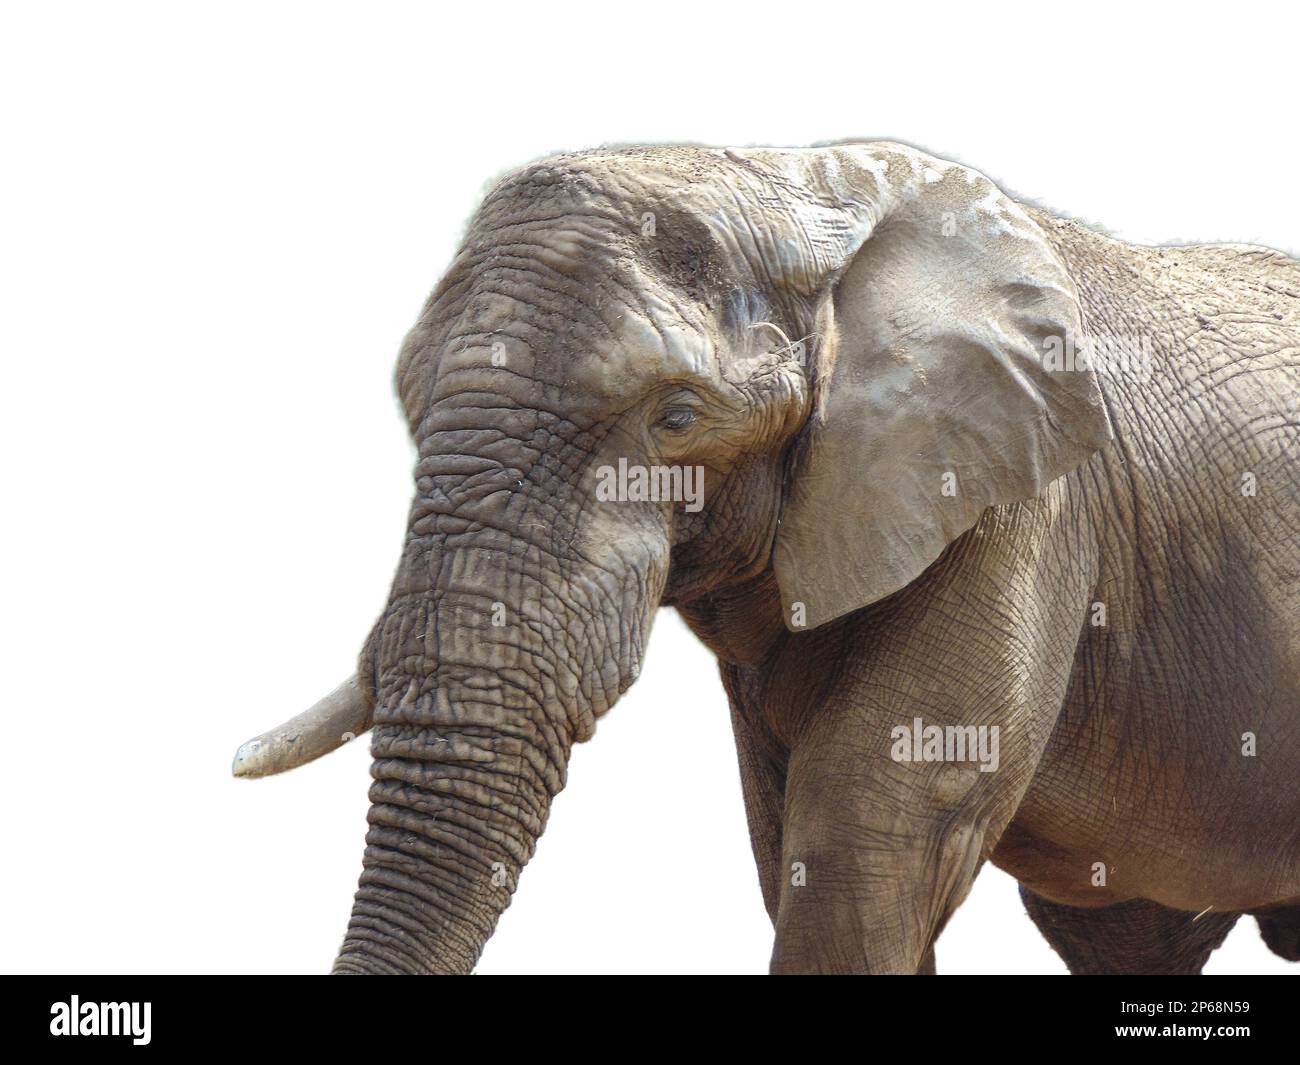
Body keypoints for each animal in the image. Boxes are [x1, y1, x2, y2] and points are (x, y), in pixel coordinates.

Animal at [233, 140, 1300, 975]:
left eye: (676, 418)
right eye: (408, 406)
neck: (795, 190)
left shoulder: (1020, 508)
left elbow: (867, 832)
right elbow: (791, 834)